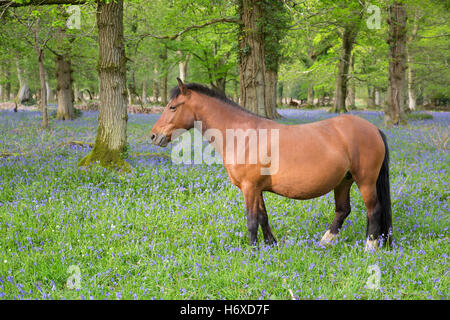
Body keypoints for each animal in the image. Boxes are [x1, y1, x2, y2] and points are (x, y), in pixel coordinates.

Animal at [149, 78, 392, 250]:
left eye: (172, 107)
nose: (153, 136)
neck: (243, 136)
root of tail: (373, 129)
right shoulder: (257, 189)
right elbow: (263, 217)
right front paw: (270, 245)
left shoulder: (249, 188)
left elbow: (251, 220)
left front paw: (253, 251)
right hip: (343, 181)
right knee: (343, 211)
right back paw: (324, 243)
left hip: (365, 181)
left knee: (373, 210)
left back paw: (369, 247)